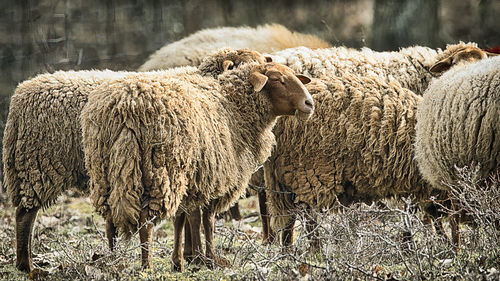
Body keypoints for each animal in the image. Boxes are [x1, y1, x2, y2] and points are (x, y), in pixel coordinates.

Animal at [80, 52, 314, 270]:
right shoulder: (212, 176)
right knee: (145, 222)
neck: (232, 106)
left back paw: (113, 260)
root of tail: (125, 108)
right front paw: (206, 258)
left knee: (110, 219)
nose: (309, 103)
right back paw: (147, 266)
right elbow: (205, 219)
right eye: (276, 79)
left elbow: (183, 218)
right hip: (160, 172)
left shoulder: (195, 179)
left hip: (105, 170)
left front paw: (183, 260)